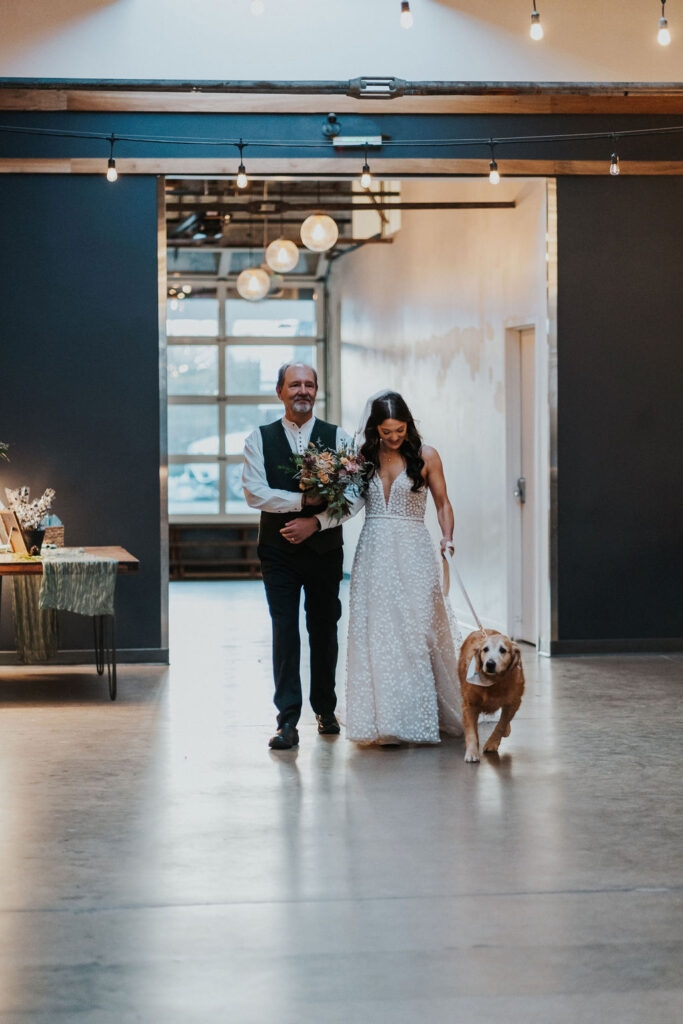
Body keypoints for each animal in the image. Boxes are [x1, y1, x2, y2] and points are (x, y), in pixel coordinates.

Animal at [456, 626, 528, 765]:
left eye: (503, 650)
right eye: (485, 649)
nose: (490, 663)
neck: (494, 682)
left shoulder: (514, 702)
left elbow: (502, 723)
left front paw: (492, 742)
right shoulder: (469, 704)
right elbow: (471, 731)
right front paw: (472, 752)